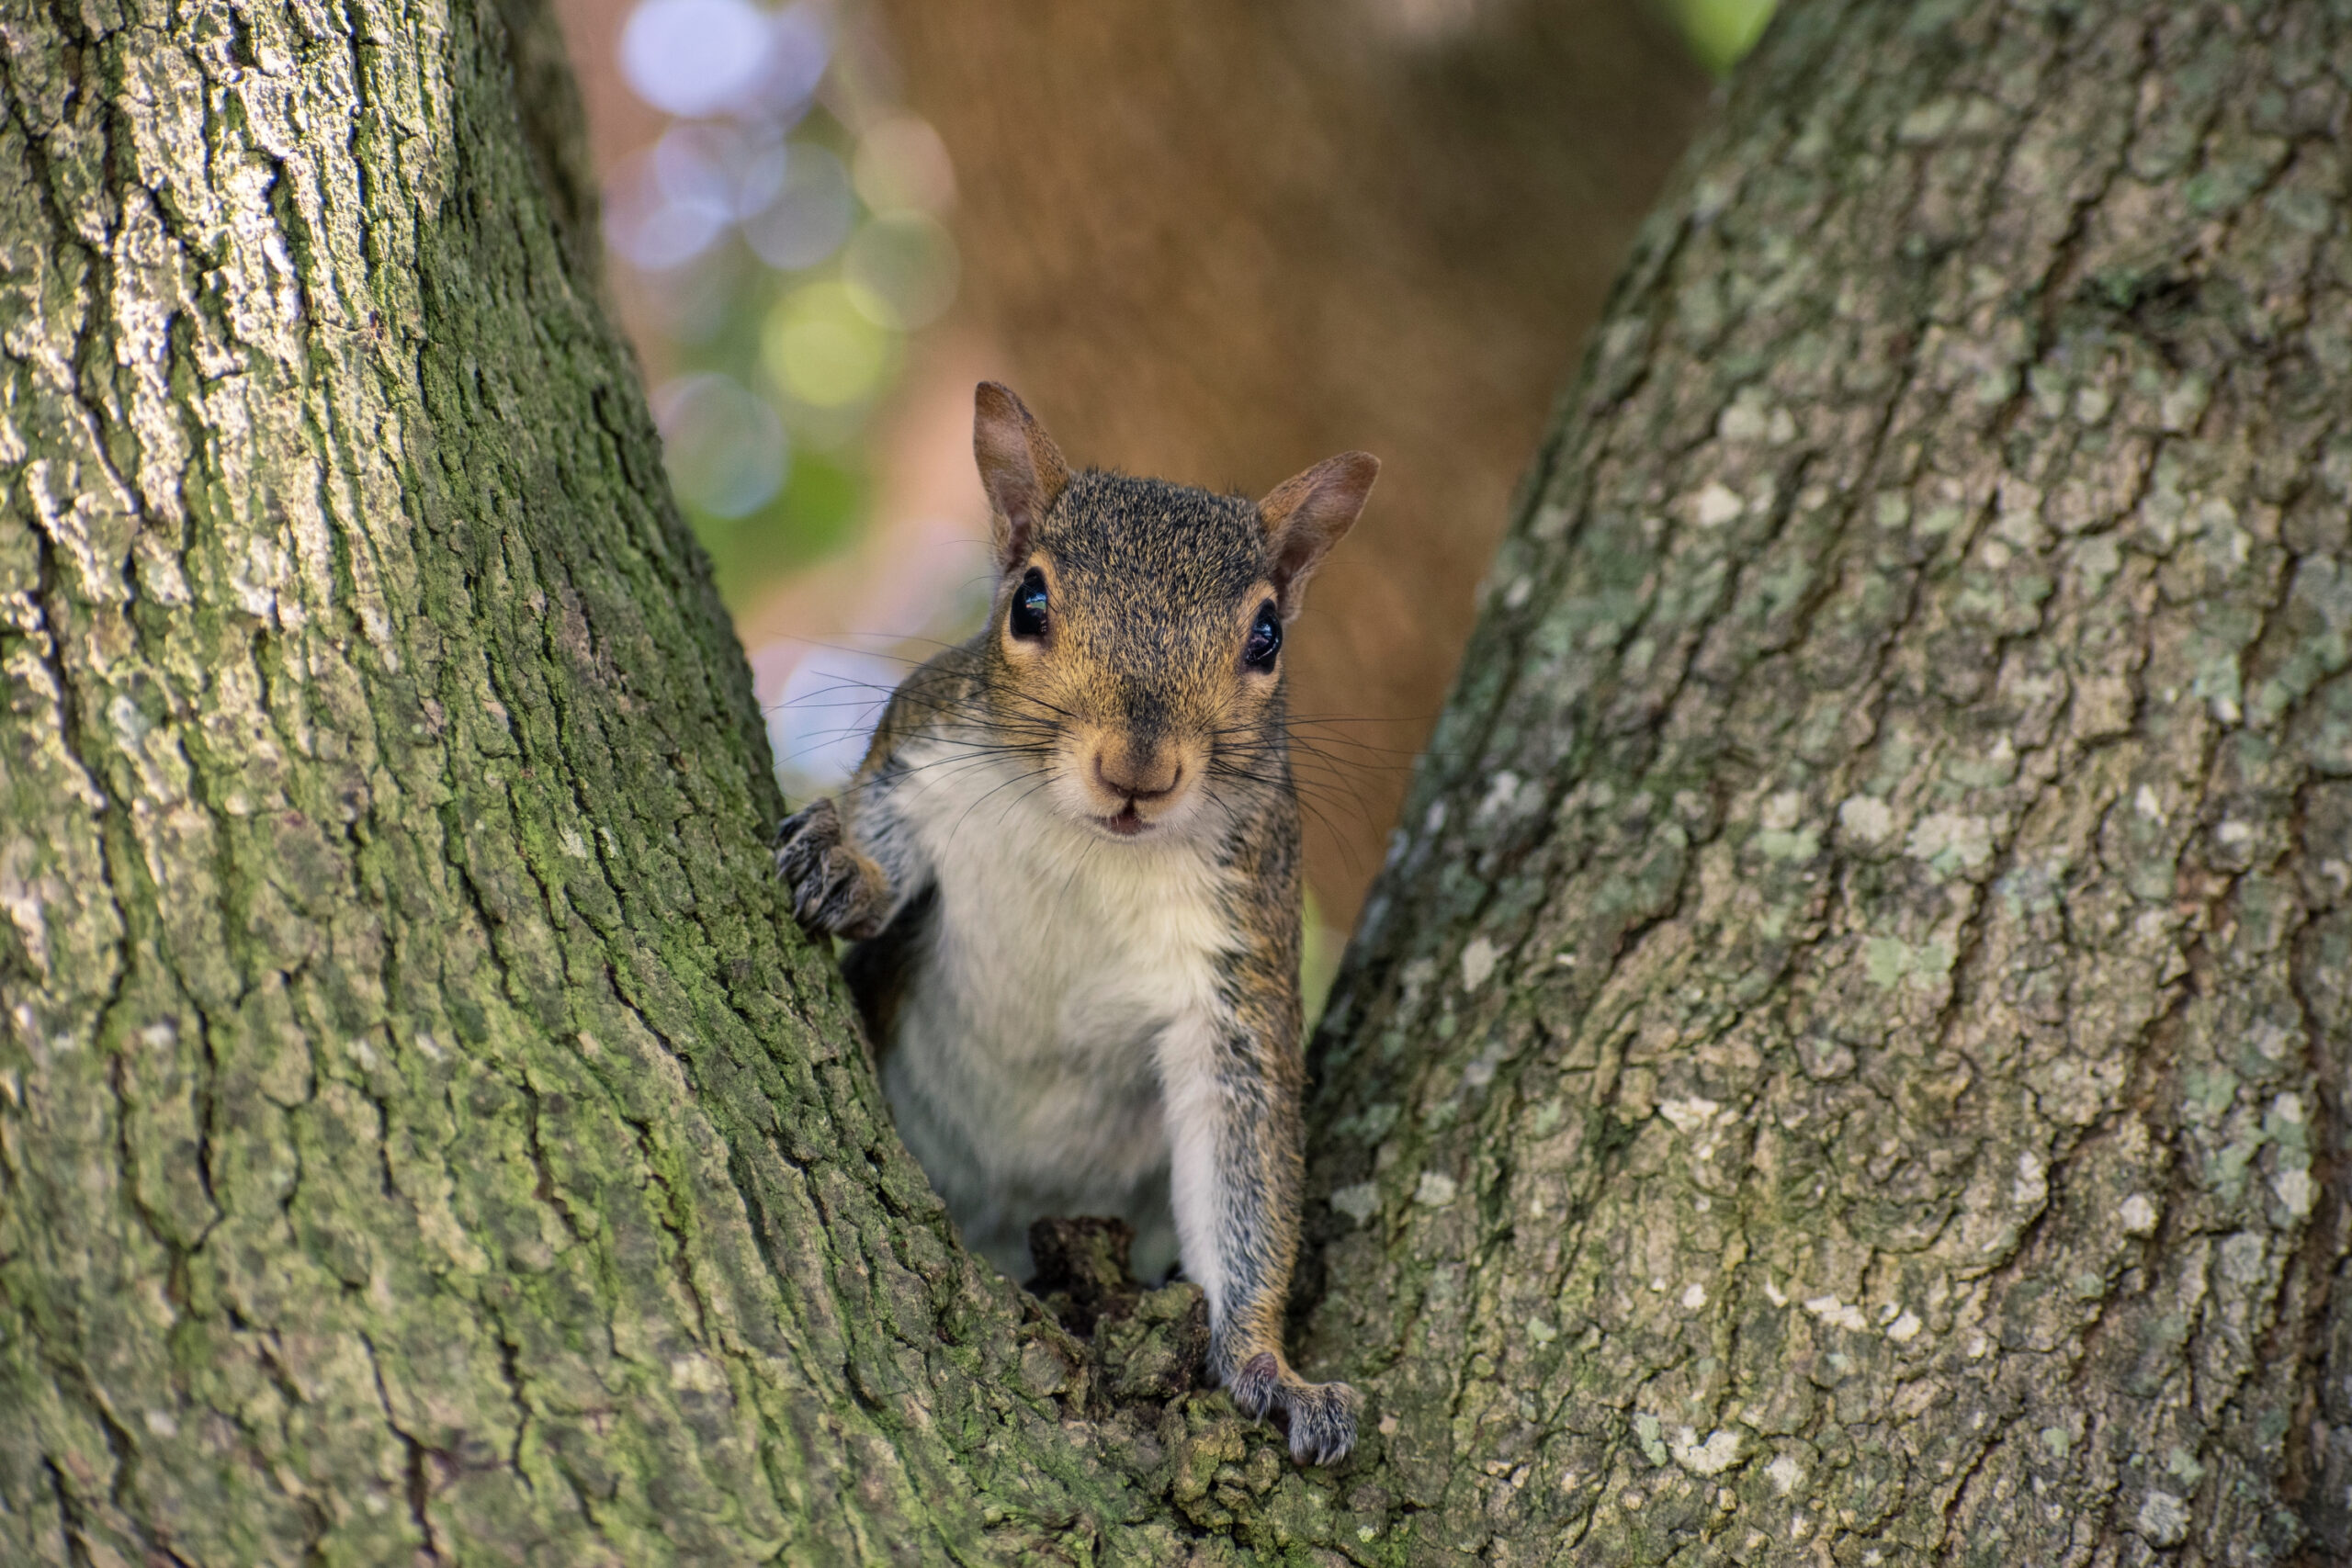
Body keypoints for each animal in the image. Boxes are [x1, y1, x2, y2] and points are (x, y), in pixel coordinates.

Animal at [775, 383, 1376, 1466]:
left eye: (1267, 637)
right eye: (1029, 602)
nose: (1138, 770)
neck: (1089, 847)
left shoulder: (1240, 957)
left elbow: (1244, 1165)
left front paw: (1268, 1366)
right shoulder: (925, 751)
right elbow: (882, 834)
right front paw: (845, 864)